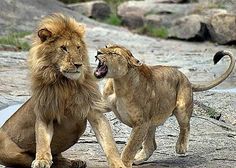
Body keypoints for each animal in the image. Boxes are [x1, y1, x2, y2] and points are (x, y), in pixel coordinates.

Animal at [0, 14, 125, 168]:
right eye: (64, 48)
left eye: (78, 47)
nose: (78, 64)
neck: (66, 84)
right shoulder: (45, 113)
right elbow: (42, 140)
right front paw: (42, 160)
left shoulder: (94, 111)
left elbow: (109, 144)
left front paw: (118, 163)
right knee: (27, 159)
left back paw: (74, 162)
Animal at [93, 44, 235, 167]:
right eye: (106, 46)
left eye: (114, 53)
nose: (98, 52)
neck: (118, 83)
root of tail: (186, 79)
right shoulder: (105, 104)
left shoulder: (141, 123)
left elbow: (130, 147)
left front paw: (124, 163)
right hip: (151, 121)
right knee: (151, 145)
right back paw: (138, 158)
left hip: (180, 108)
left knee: (186, 126)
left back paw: (181, 147)